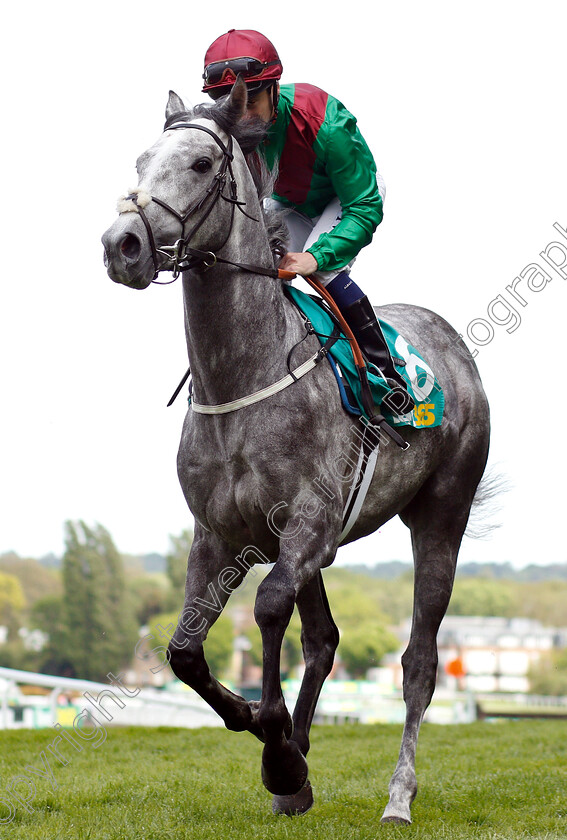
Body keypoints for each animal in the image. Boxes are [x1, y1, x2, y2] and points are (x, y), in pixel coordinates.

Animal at [103, 80, 492, 828]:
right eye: (139, 160)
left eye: (200, 163)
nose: (121, 243)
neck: (241, 376)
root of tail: (451, 342)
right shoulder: (220, 533)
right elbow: (184, 652)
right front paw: (279, 748)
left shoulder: (309, 522)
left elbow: (267, 607)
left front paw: (277, 746)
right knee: (324, 638)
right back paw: (300, 772)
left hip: (441, 515)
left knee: (419, 661)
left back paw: (396, 794)